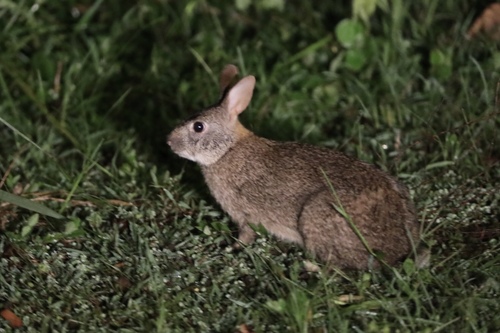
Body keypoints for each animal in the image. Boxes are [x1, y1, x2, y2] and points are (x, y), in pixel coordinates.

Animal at [167, 63, 418, 268]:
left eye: (198, 127)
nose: (169, 141)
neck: (227, 150)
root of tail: (398, 247)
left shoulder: (244, 214)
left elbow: (246, 235)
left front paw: (233, 248)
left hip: (317, 215)